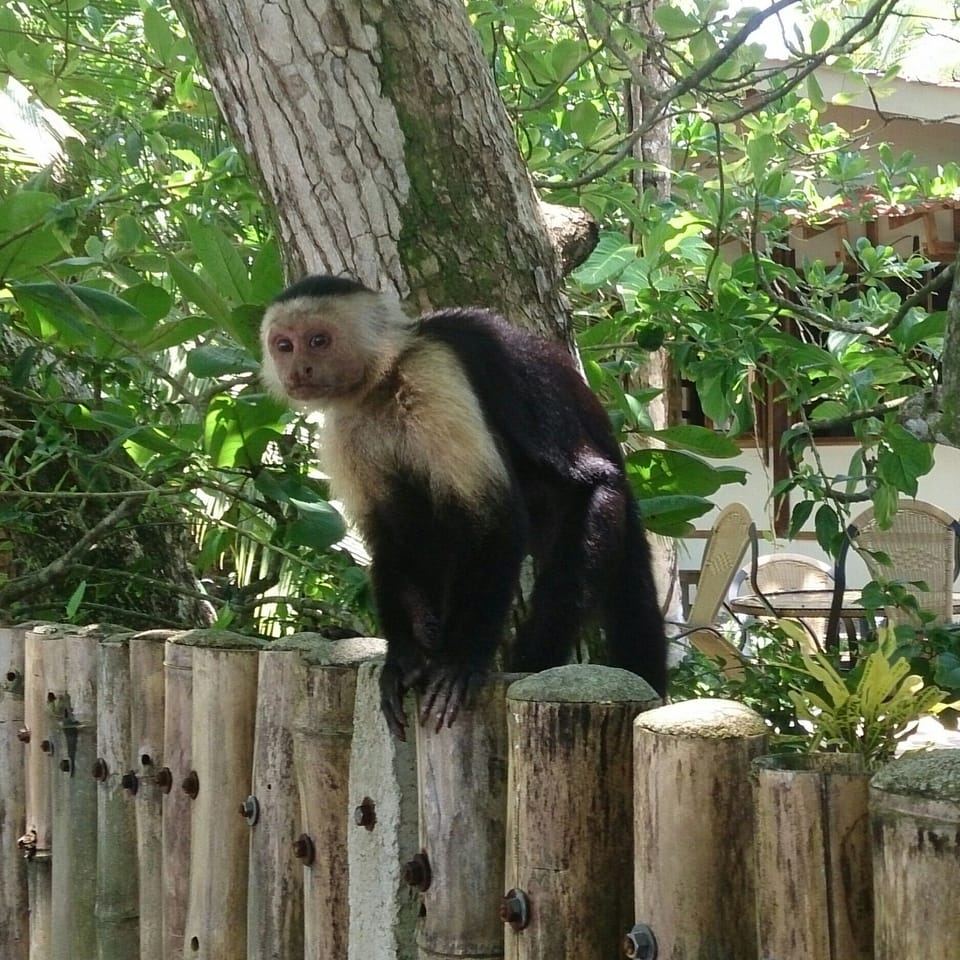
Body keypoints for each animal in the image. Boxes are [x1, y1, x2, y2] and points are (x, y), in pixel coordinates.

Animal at [260, 274, 666, 738]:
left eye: (319, 340)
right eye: (284, 345)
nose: (299, 370)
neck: (381, 384)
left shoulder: (433, 378)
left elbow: (495, 520)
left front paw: (458, 661)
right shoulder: (346, 428)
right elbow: (391, 536)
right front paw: (405, 657)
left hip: (604, 497)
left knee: (571, 574)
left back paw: (529, 666)